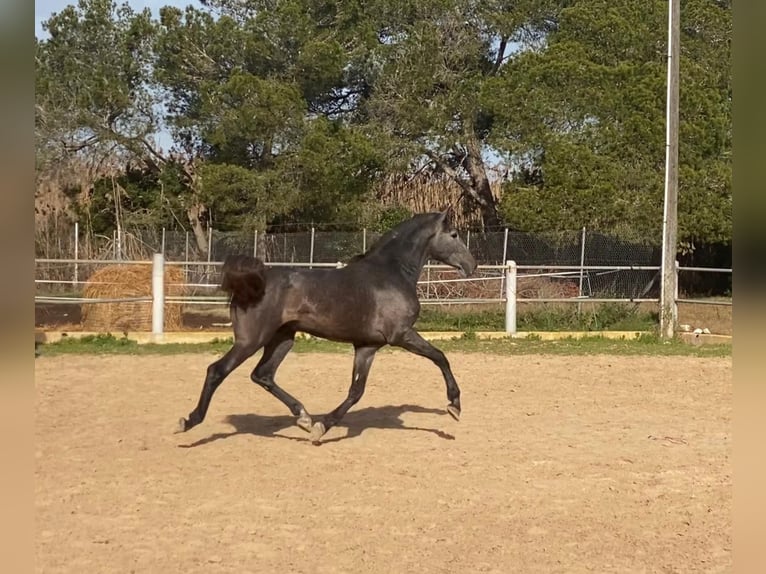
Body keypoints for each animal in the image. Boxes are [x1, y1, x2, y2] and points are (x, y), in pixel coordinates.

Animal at [177, 212, 476, 446]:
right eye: (454, 234)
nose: (471, 265)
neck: (391, 274)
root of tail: (249, 284)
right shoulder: (401, 335)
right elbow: (440, 357)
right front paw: (454, 406)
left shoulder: (367, 346)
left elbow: (356, 392)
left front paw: (321, 427)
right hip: (251, 340)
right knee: (217, 370)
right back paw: (189, 421)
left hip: (282, 339)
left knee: (263, 374)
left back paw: (304, 418)